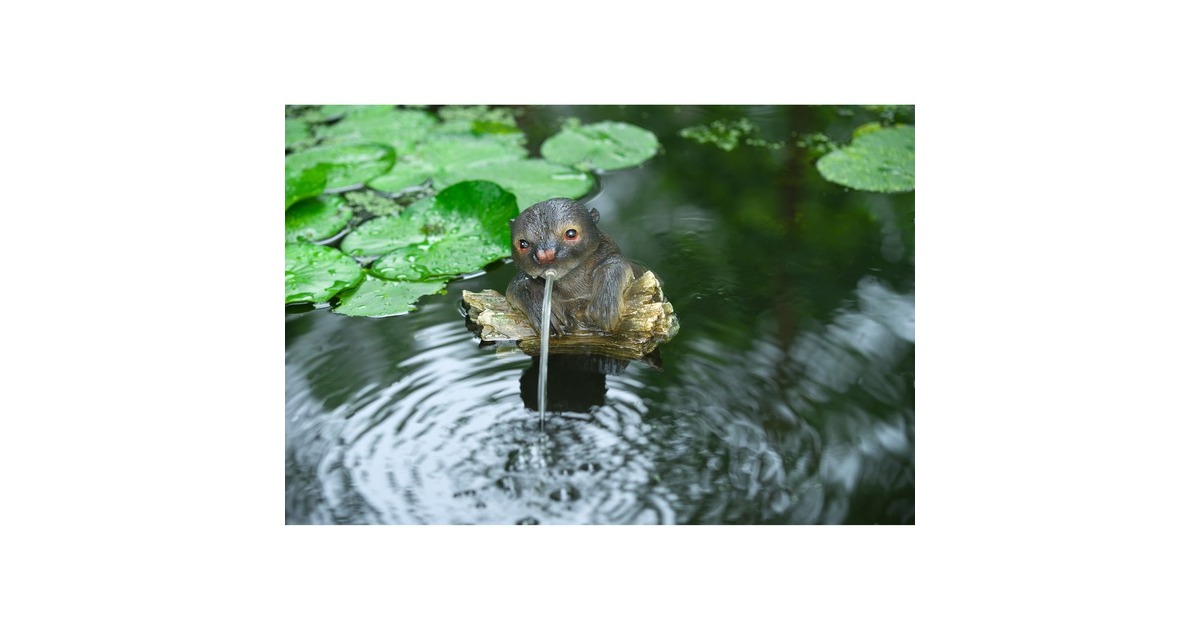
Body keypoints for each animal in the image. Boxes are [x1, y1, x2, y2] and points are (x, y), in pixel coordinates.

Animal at [506, 198, 638, 335]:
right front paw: (539, 308)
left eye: (571, 233)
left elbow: (615, 263)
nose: (545, 255)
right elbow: (518, 284)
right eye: (523, 244)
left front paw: (605, 301)